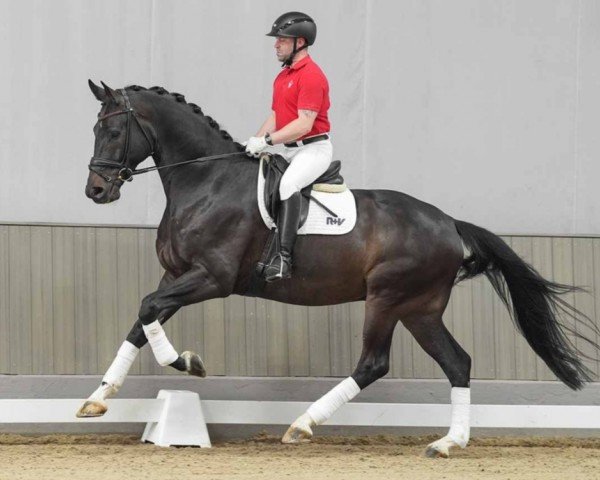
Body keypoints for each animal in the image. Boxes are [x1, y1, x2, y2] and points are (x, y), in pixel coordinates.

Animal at [79, 81, 596, 458]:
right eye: (96, 129)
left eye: (113, 131)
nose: (97, 191)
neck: (207, 179)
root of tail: (449, 223)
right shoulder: (176, 276)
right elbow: (142, 319)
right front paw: (99, 398)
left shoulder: (212, 278)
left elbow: (148, 309)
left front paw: (189, 362)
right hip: (420, 309)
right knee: (457, 363)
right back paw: (449, 442)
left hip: (387, 298)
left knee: (373, 363)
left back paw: (302, 424)